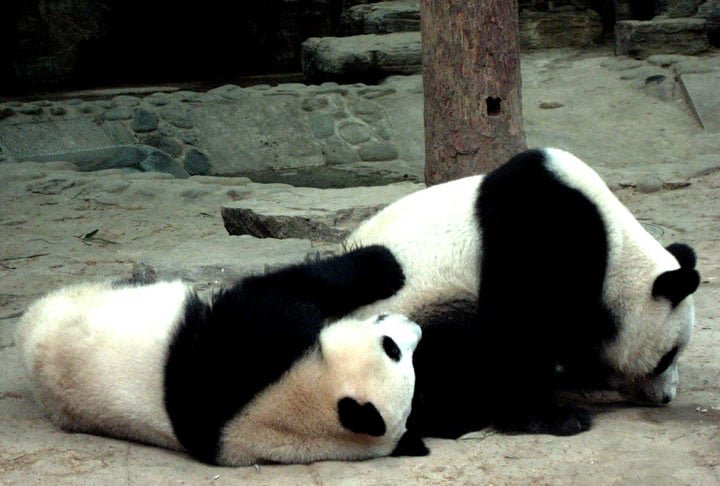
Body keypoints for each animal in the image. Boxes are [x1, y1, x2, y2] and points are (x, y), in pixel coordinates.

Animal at [345, 147, 701, 439]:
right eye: (667, 357)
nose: (666, 397)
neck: (617, 249)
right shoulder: (538, 232)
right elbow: (518, 330)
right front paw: (554, 417)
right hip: (404, 320)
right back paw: (459, 415)